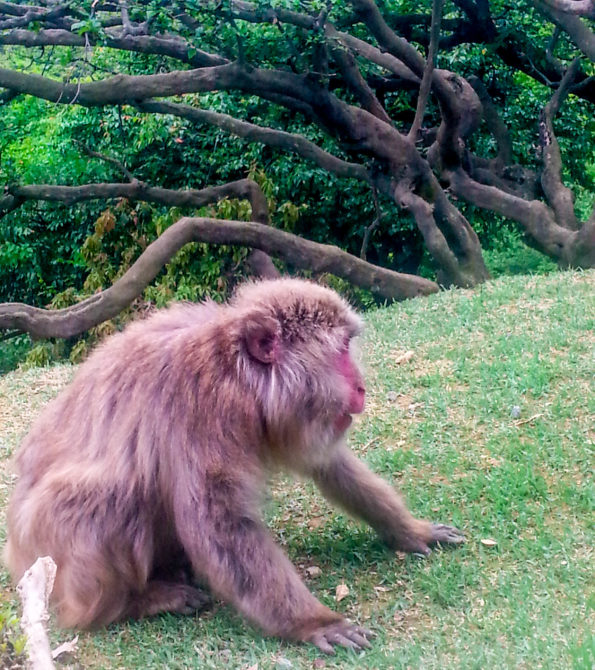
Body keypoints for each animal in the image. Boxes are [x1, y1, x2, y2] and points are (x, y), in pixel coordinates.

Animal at [3, 278, 466, 656]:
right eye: (341, 352)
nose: (361, 387)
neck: (241, 376)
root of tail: (15, 550)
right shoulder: (202, 410)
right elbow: (220, 526)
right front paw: (314, 622)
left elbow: (332, 467)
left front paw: (411, 531)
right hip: (48, 551)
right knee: (112, 498)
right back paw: (133, 603)